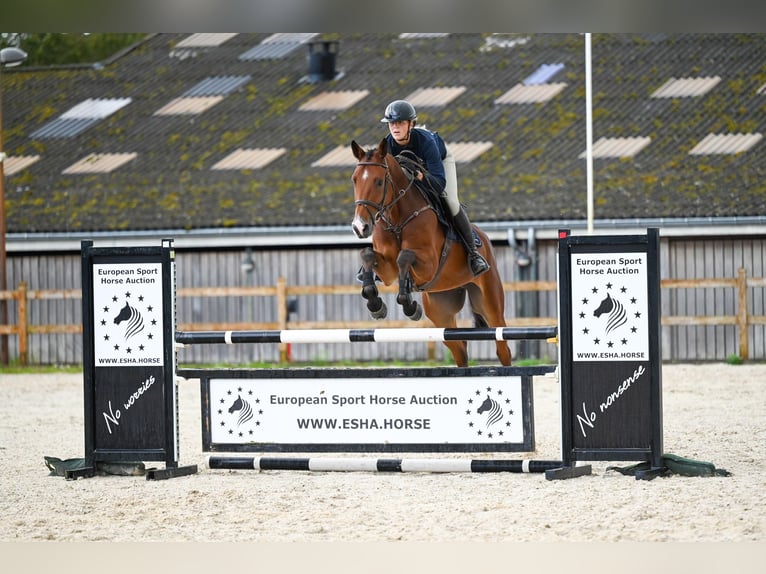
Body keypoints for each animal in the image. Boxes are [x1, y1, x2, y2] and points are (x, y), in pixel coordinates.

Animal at [352, 137, 512, 366]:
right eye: (355, 180)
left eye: (379, 182)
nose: (360, 227)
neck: (397, 218)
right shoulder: (388, 271)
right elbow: (367, 254)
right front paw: (376, 304)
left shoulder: (428, 265)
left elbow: (404, 257)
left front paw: (409, 306)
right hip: (440, 310)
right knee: (459, 349)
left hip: (490, 302)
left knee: (502, 348)